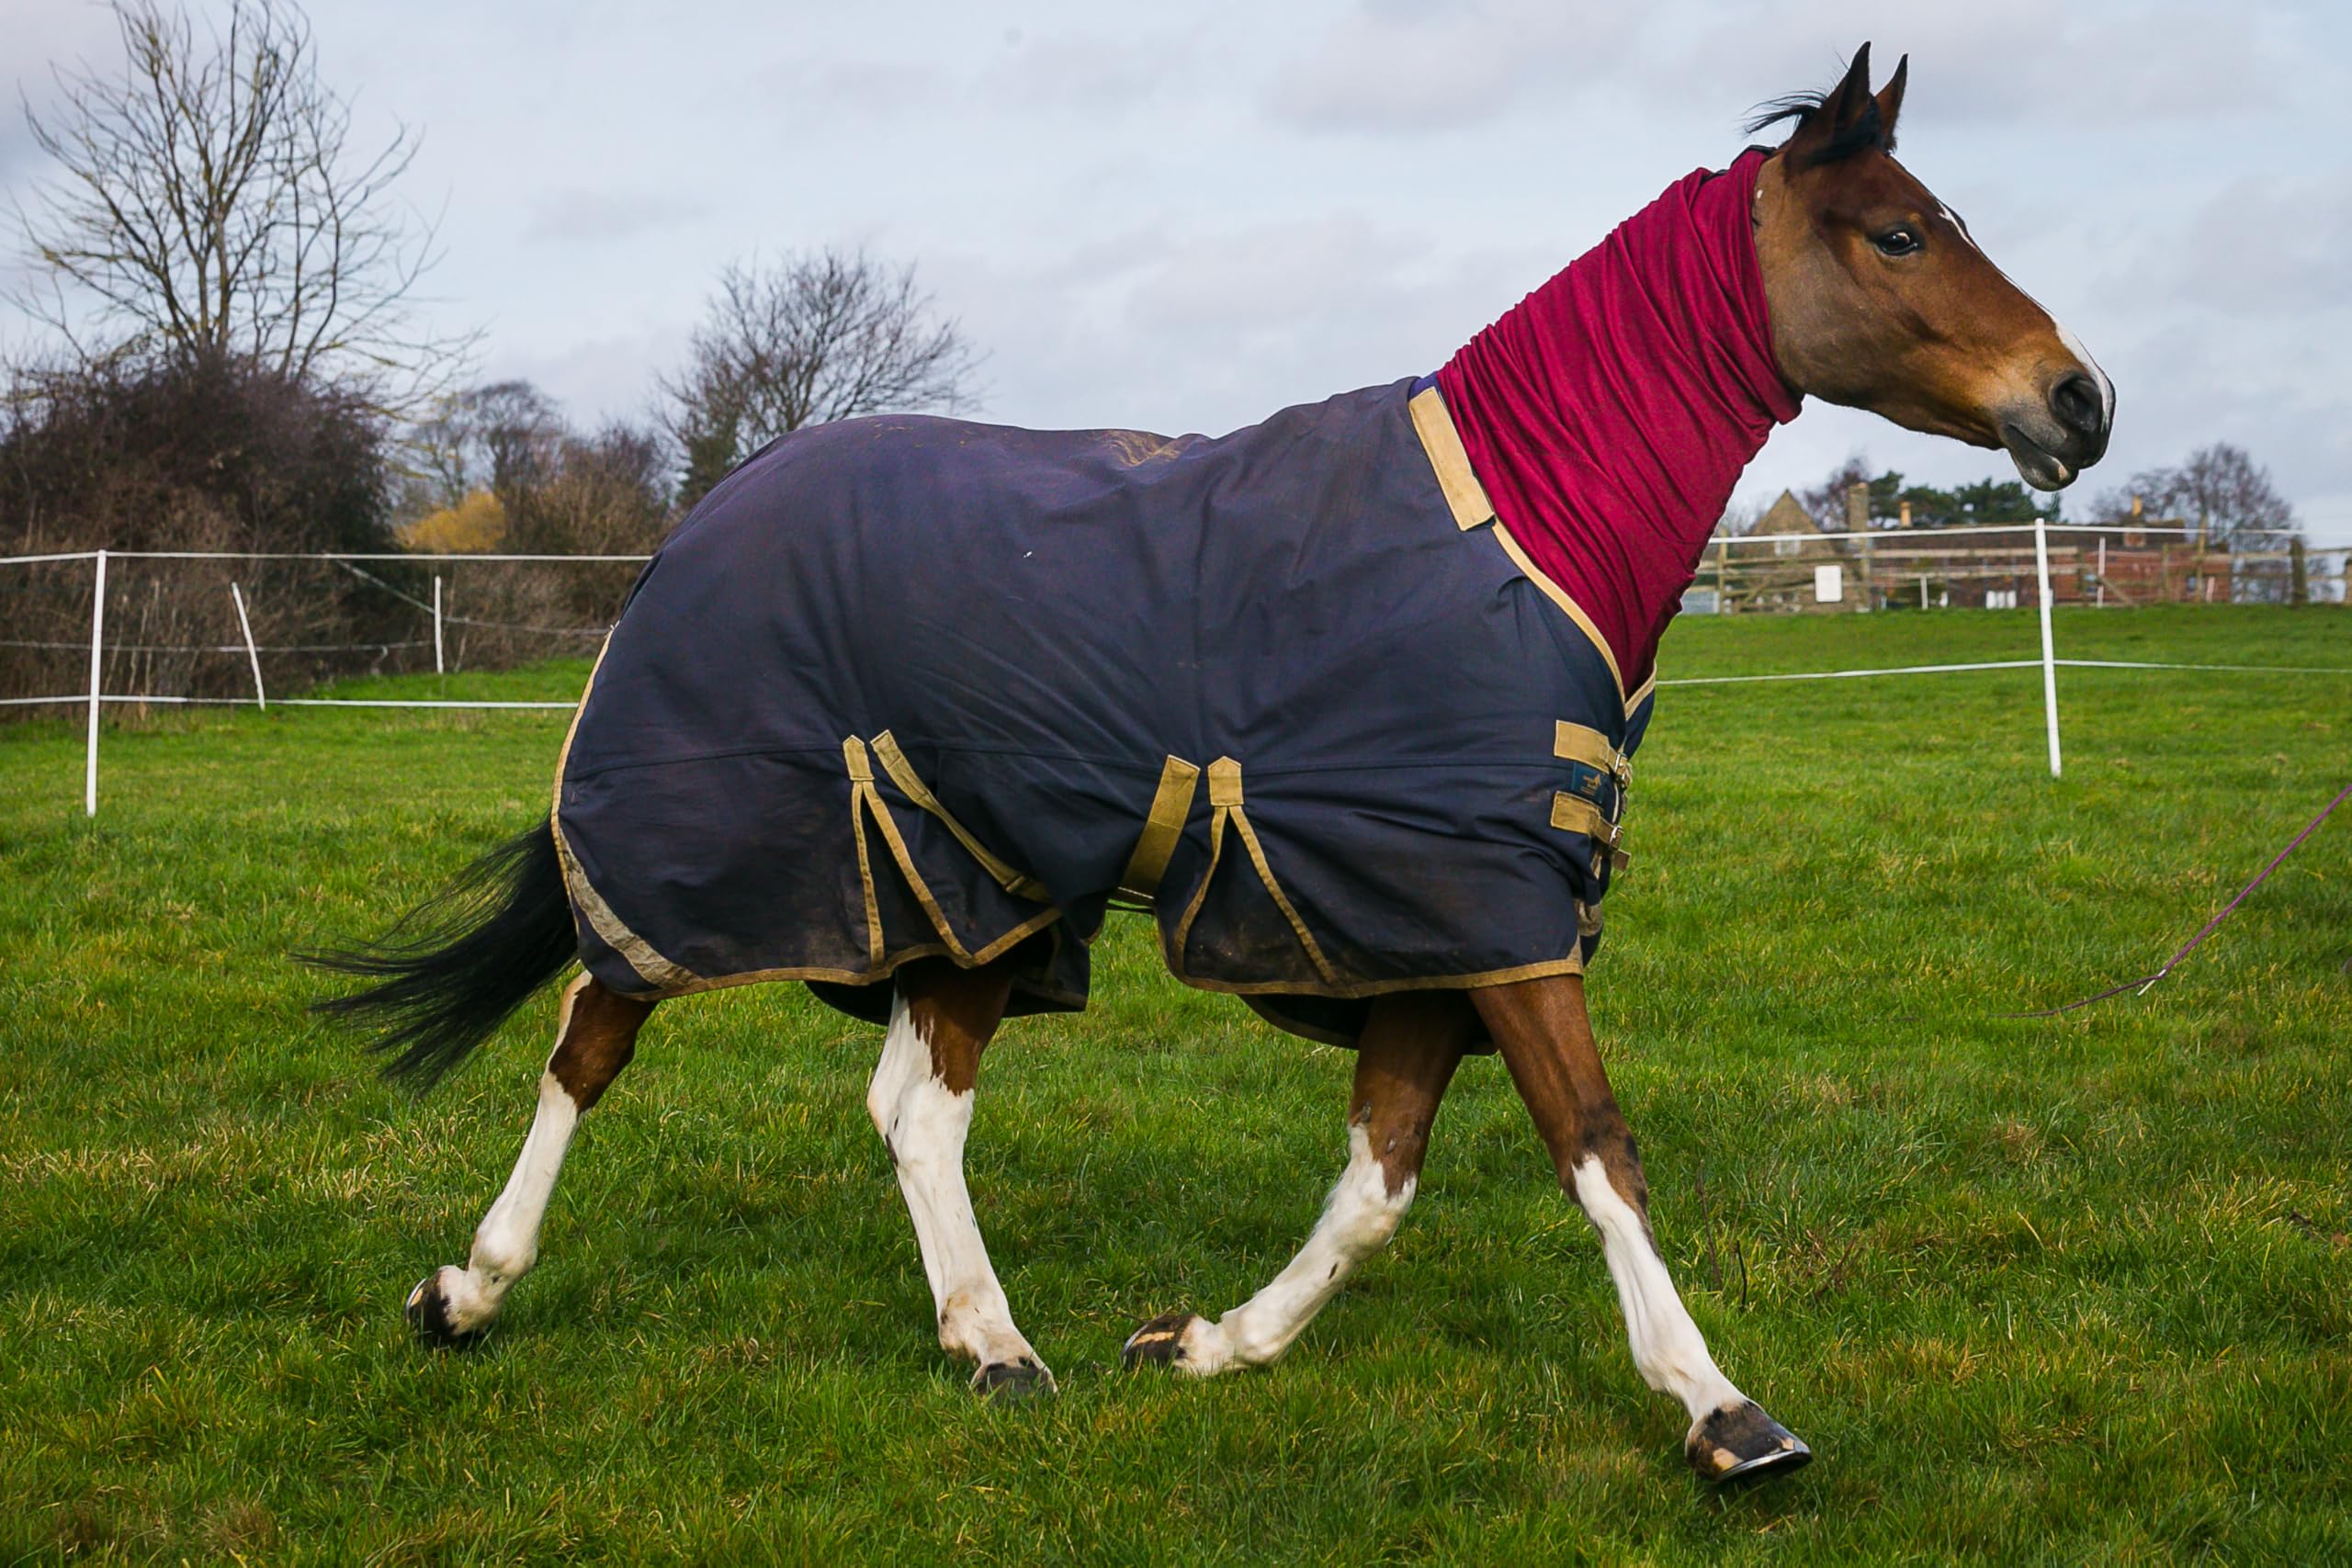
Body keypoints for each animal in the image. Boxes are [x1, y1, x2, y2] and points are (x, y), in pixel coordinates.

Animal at [314, 45, 2111, 1484]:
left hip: (970, 886)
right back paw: (465, 1288)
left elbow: (1380, 1178)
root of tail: (704, 520)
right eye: (1899, 231)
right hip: (731, 846)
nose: (2079, 398)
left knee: (914, 1107)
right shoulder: (1484, 908)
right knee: (591, 1037)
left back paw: (992, 1344)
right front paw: (1723, 1408)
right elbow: (1598, 1146)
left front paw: (1205, 1343)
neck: (1523, 523)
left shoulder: (1433, 932)